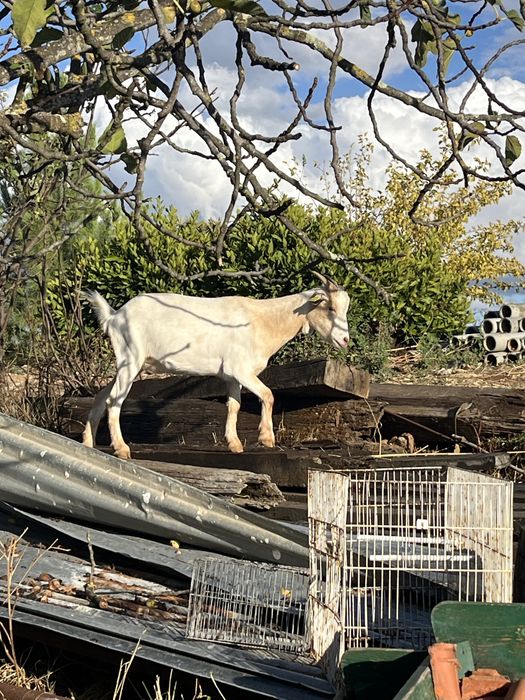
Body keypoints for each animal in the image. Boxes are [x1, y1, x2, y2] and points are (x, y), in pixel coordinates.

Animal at [82, 272, 350, 457]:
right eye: (330, 307)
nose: (345, 340)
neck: (262, 320)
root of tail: (114, 316)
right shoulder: (241, 369)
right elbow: (268, 395)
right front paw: (266, 438)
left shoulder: (231, 375)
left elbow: (234, 405)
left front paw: (235, 444)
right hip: (131, 358)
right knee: (113, 399)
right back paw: (121, 448)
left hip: (127, 364)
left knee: (101, 395)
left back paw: (88, 443)